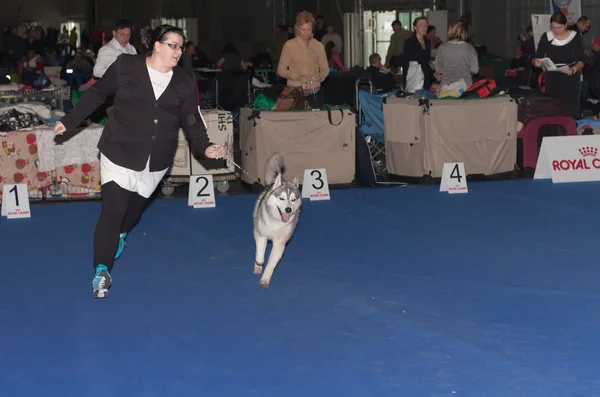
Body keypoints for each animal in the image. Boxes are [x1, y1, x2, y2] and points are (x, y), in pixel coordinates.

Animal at [252, 152, 302, 288]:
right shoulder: (261, 235)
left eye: (293, 199)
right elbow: (260, 254)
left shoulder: (279, 244)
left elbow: (271, 262)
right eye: (281, 198)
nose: (288, 209)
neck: (276, 221)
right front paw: (259, 263)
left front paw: (265, 278)